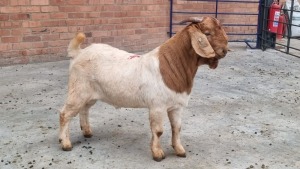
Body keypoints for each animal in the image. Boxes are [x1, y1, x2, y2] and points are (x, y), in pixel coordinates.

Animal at [59, 16, 229, 162]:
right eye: (207, 33)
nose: (225, 50)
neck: (170, 65)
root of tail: (79, 53)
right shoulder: (157, 106)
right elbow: (158, 130)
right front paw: (158, 154)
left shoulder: (176, 106)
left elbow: (177, 128)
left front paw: (180, 150)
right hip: (78, 90)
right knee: (65, 114)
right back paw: (65, 143)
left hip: (90, 94)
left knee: (84, 109)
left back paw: (87, 132)